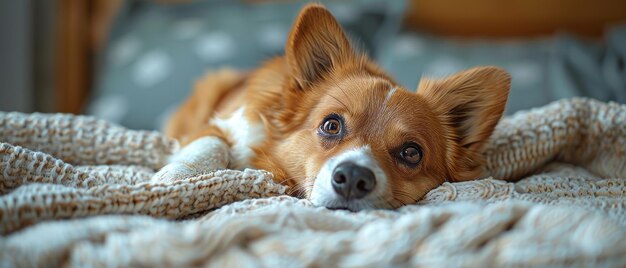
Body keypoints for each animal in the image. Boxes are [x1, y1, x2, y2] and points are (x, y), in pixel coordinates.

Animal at [155, 2, 508, 211]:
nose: (352, 178)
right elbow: (210, 144)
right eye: (331, 125)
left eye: (411, 152)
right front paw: (177, 176)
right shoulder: (222, 125)